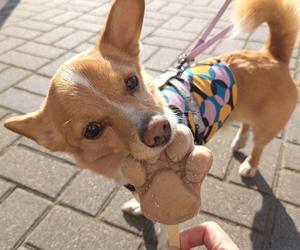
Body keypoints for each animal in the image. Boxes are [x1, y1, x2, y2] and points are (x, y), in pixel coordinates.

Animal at [2, 0, 300, 246]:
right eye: (92, 130)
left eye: (132, 81)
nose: (160, 129)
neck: (126, 161)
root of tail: (273, 55)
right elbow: (143, 200)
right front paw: (137, 207)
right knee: (246, 126)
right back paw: (238, 143)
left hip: (267, 125)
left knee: (259, 145)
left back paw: (250, 165)